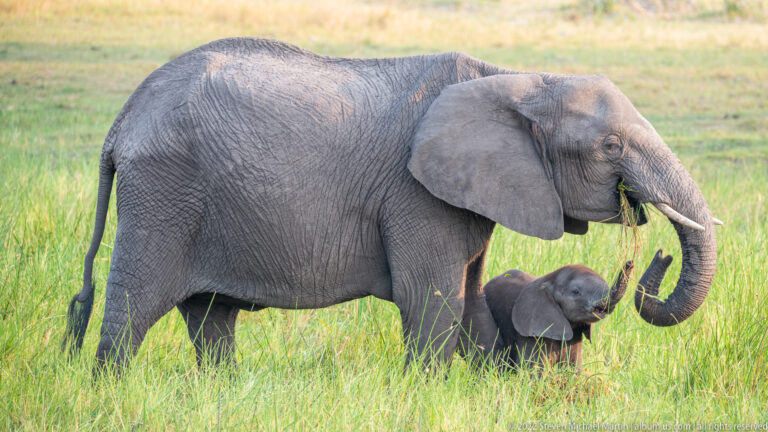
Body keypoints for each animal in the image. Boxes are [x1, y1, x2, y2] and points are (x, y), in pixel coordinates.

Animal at [483, 261, 634, 370]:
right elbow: (534, 372)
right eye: (576, 291)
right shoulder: (530, 334)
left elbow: (572, 369)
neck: (549, 279)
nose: (629, 263)